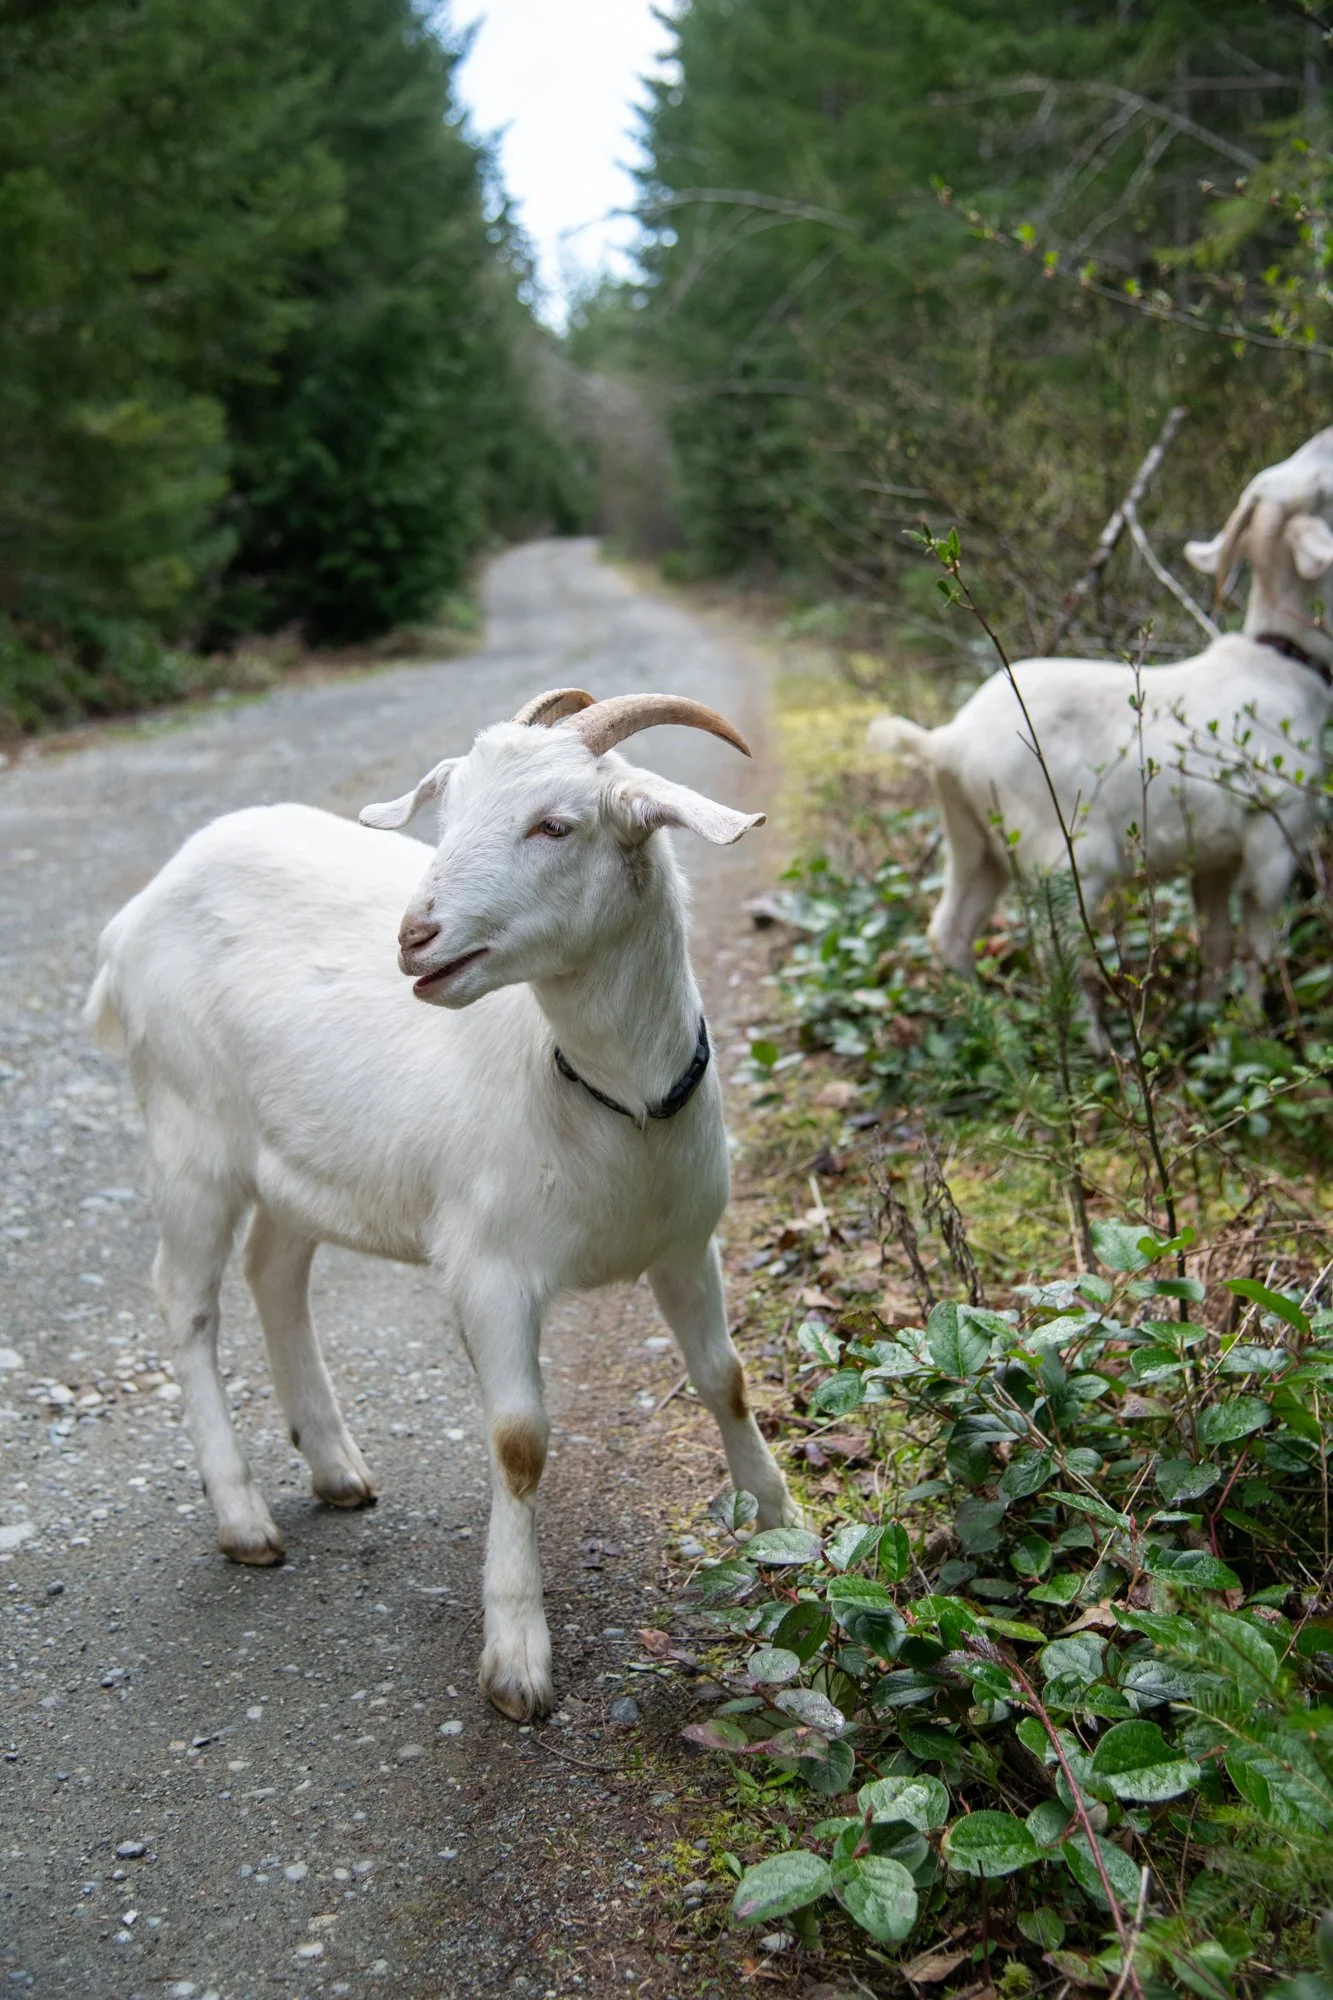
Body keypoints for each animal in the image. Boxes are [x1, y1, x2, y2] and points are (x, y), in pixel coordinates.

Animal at [84, 689, 797, 1721]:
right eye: (446, 815)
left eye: (555, 825)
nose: (413, 936)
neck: (601, 1096)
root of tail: (139, 910)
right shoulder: (490, 1270)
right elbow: (519, 1442)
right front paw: (516, 1656)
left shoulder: (683, 1243)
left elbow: (724, 1378)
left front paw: (786, 1525)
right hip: (189, 1135)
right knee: (185, 1298)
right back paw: (244, 1516)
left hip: (298, 1158)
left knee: (273, 1272)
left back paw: (334, 1465)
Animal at [869, 428, 1333, 1010]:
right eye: (1316, 483)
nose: (1323, 434)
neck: (1288, 665)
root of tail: (947, 742)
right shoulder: (1276, 833)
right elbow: (1258, 944)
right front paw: (1254, 1017)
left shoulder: (1212, 857)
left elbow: (1217, 940)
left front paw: (1210, 1016)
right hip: (1066, 856)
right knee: (1058, 955)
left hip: (974, 842)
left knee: (949, 930)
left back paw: (985, 1017)